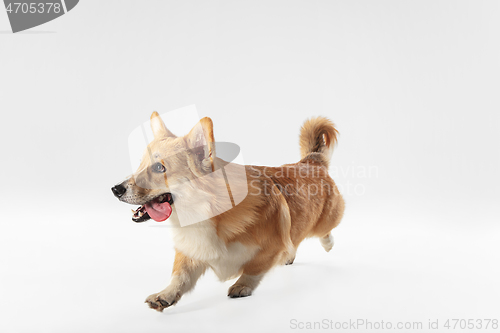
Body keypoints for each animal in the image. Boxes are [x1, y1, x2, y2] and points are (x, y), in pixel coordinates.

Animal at [110, 112, 344, 312]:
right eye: (140, 165)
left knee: (323, 231)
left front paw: (242, 286)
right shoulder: (192, 250)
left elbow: (254, 268)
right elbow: (180, 276)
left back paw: (327, 243)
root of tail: (311, 161)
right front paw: (165, 295)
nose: (115, 189)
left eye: (159, 168)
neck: (209, 210)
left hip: (326, 219)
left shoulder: (271, 245)